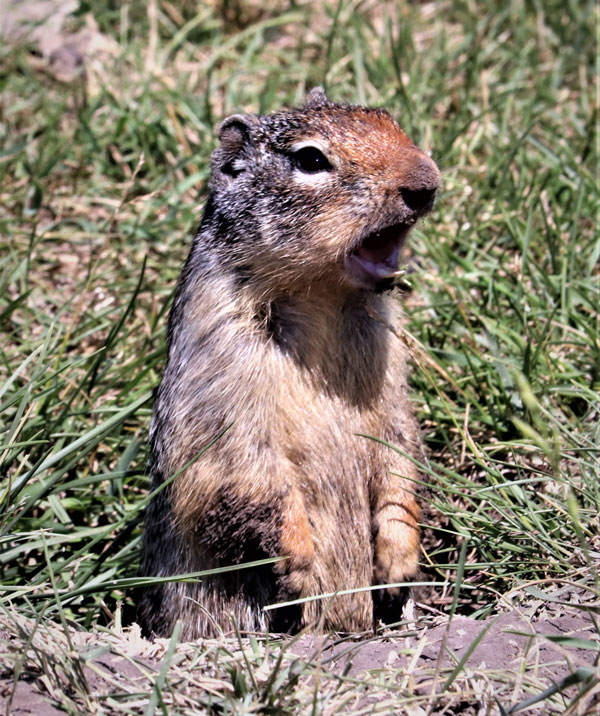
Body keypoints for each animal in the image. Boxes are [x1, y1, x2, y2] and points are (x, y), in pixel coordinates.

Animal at [139, 89, 440, 636]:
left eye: (388, 118)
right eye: (310, 160)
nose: (427, 183)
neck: (322, 299)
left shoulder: (389, 373)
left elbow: (398, 453)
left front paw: (398, 564)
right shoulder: (218, 360)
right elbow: (244, 469)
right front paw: (298, 568)